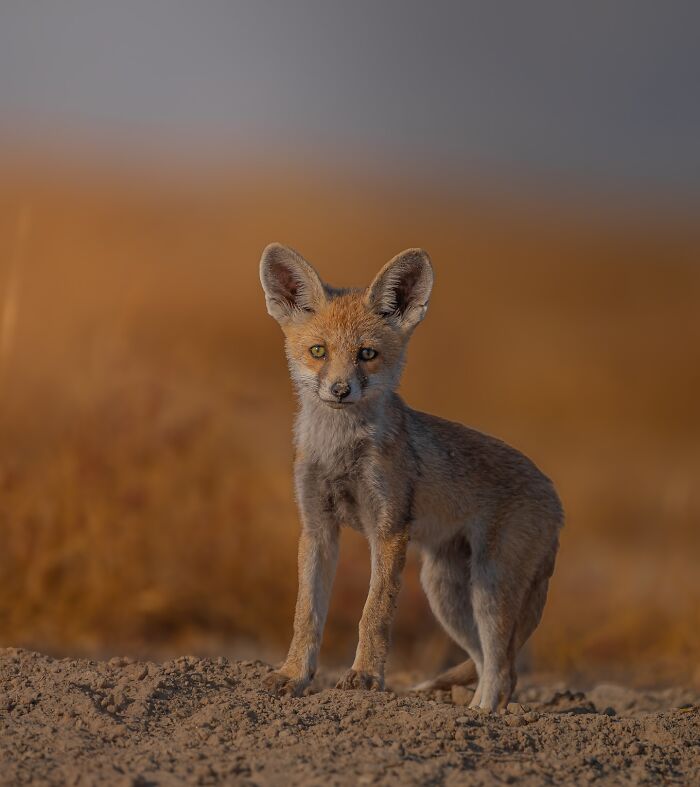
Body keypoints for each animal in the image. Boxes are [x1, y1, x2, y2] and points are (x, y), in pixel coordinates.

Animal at [262, 243, 564, 712]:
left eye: (367, 354)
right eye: (318, 351)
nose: (339, 390)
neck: (340, 451)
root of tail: (555, 495)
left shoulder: (388, 530)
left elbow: (374, 614)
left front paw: (365, 678)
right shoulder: (317, 528)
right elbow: (306, 614)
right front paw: (293, 676)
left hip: (489, 589)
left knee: (504, 668)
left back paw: (481, 715)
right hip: (446, 594)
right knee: (487, 663)